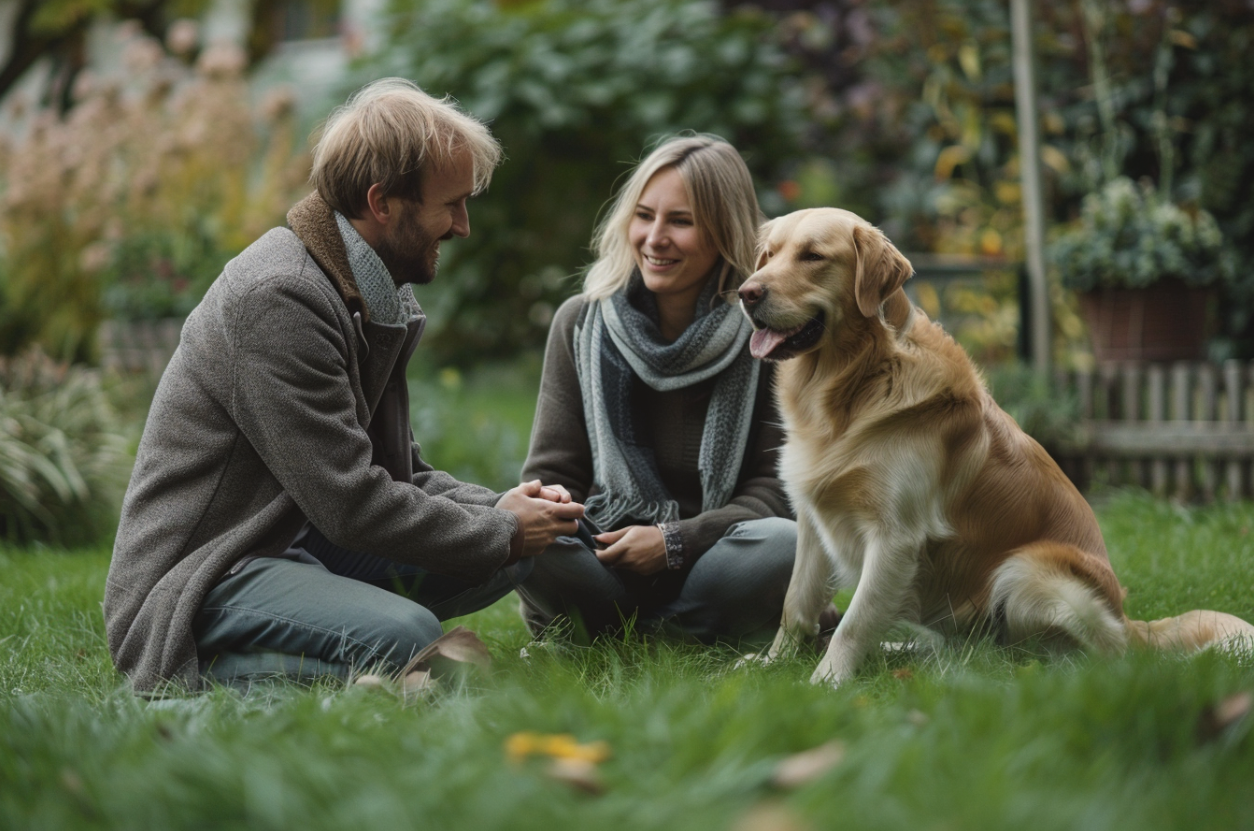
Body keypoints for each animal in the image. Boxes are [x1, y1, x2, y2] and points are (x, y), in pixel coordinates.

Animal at [737, 208, 1254, 686]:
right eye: (769, 255)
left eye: (813, 256)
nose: (746, 293)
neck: (855, 381)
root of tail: (1129, 624)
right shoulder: (813, 520)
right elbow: (796, 602)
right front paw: (773, 663)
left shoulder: (895, 536)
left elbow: (854, 621)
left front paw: (826, 683)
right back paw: (899, 652)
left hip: (1027, 569)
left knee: (1080, 658)